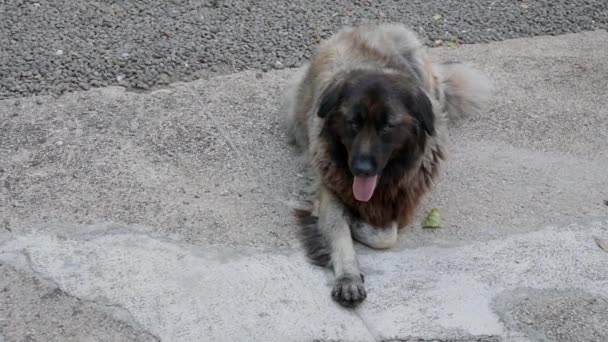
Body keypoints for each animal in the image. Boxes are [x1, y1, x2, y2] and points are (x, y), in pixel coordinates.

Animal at [282, 24, 492, 308]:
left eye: (387, 126)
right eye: (353, 123)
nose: (361, 169)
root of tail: (362, 27)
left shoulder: (404, 199)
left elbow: (385, 235)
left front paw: (356, 220)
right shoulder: (329, 187)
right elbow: (339, 229)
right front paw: (348, 276)